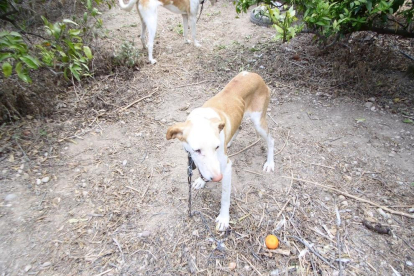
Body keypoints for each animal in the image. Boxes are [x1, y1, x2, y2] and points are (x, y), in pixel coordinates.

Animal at [165, 71, 274, 231]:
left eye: (216, 147)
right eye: (197, 150)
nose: (217, 178)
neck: (203, 119)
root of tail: (255, 74)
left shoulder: (226, 167)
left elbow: (225, 197)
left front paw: (223, 219)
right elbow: (202, 170)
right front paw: (201, 180)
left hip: (258, 122)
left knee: (271, 140)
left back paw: (270, 163)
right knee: (239, 127)